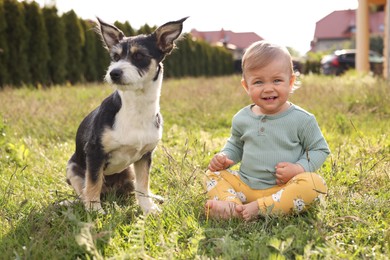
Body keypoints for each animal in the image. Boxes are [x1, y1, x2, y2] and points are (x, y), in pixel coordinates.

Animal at [65, 17, 187, 214]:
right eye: (115, 57)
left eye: (139, 56)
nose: (114, 73)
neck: (136, 107)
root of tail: (113, 192)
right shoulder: (94, 153)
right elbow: (93, 183)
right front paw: (95, 211)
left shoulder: (145, 156)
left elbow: (143, 185)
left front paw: (148, 209)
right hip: (72, 167)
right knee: (84, 190)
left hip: (129, 169)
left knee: (134, 187)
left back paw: (154, 197)